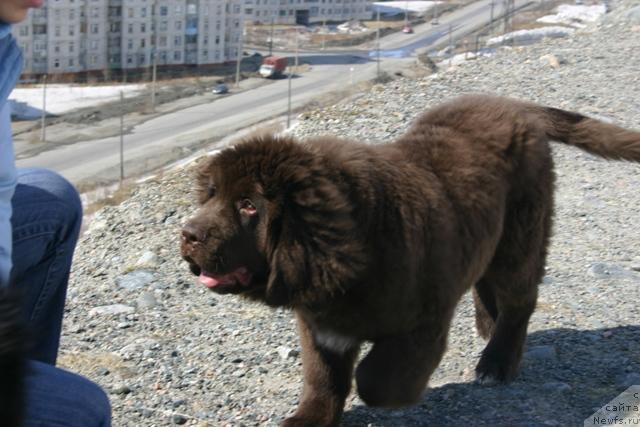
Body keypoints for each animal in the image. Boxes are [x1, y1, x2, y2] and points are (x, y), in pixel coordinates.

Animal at [181, 95, 640, 426]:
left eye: (248, 205)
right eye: (210, 196)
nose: (187, 234)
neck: (354, 253)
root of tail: (515, 105)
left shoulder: (423, 322)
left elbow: (375, 380)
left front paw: (397, 395)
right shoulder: (318, 326)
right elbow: (322, 379)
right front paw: (307, 419)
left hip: (521, 234)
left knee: (519, 300)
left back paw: (497, 361)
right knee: (485, 279)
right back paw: (487, 326)